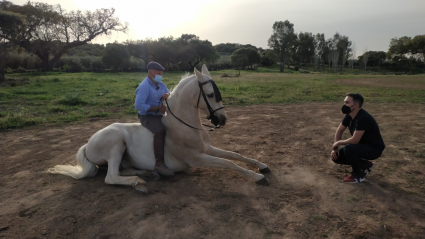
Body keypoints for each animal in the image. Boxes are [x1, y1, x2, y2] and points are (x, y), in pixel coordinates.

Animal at [48, 64, 270, 193]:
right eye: (210, 94)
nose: (222, 120)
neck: (187, 126)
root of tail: (87, 144)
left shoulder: (207, 149)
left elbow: (236, 155)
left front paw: (262, 166)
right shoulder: (197, 157)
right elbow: (228, 163)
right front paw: (259, 178)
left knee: (122, 169)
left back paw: (149, 174)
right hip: (116, 143)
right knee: (110, 177)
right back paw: (139, 182)